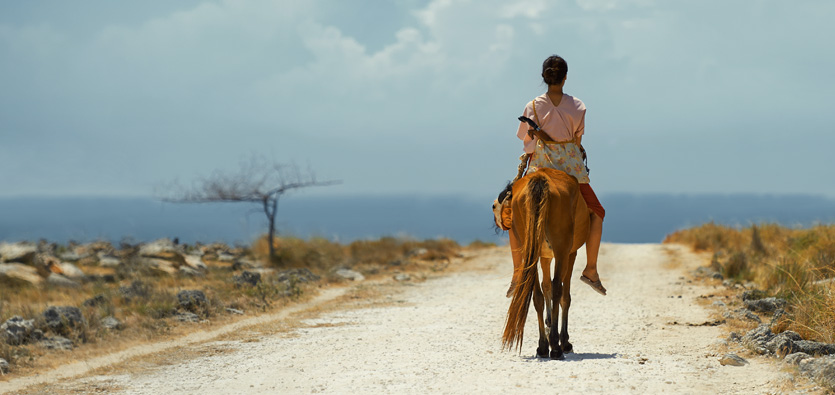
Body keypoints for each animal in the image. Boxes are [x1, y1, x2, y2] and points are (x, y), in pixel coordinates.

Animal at [500, 169, 592, 360]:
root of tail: (540, 178)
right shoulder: (570, 253)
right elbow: (563, 295)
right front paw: (563, 340)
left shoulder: (544, 256)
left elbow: (545, 287)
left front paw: (549, 328)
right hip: (561, 249)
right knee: (558, 290)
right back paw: (556, 346)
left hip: (531, 250)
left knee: (537, 295)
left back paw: (543, 346)